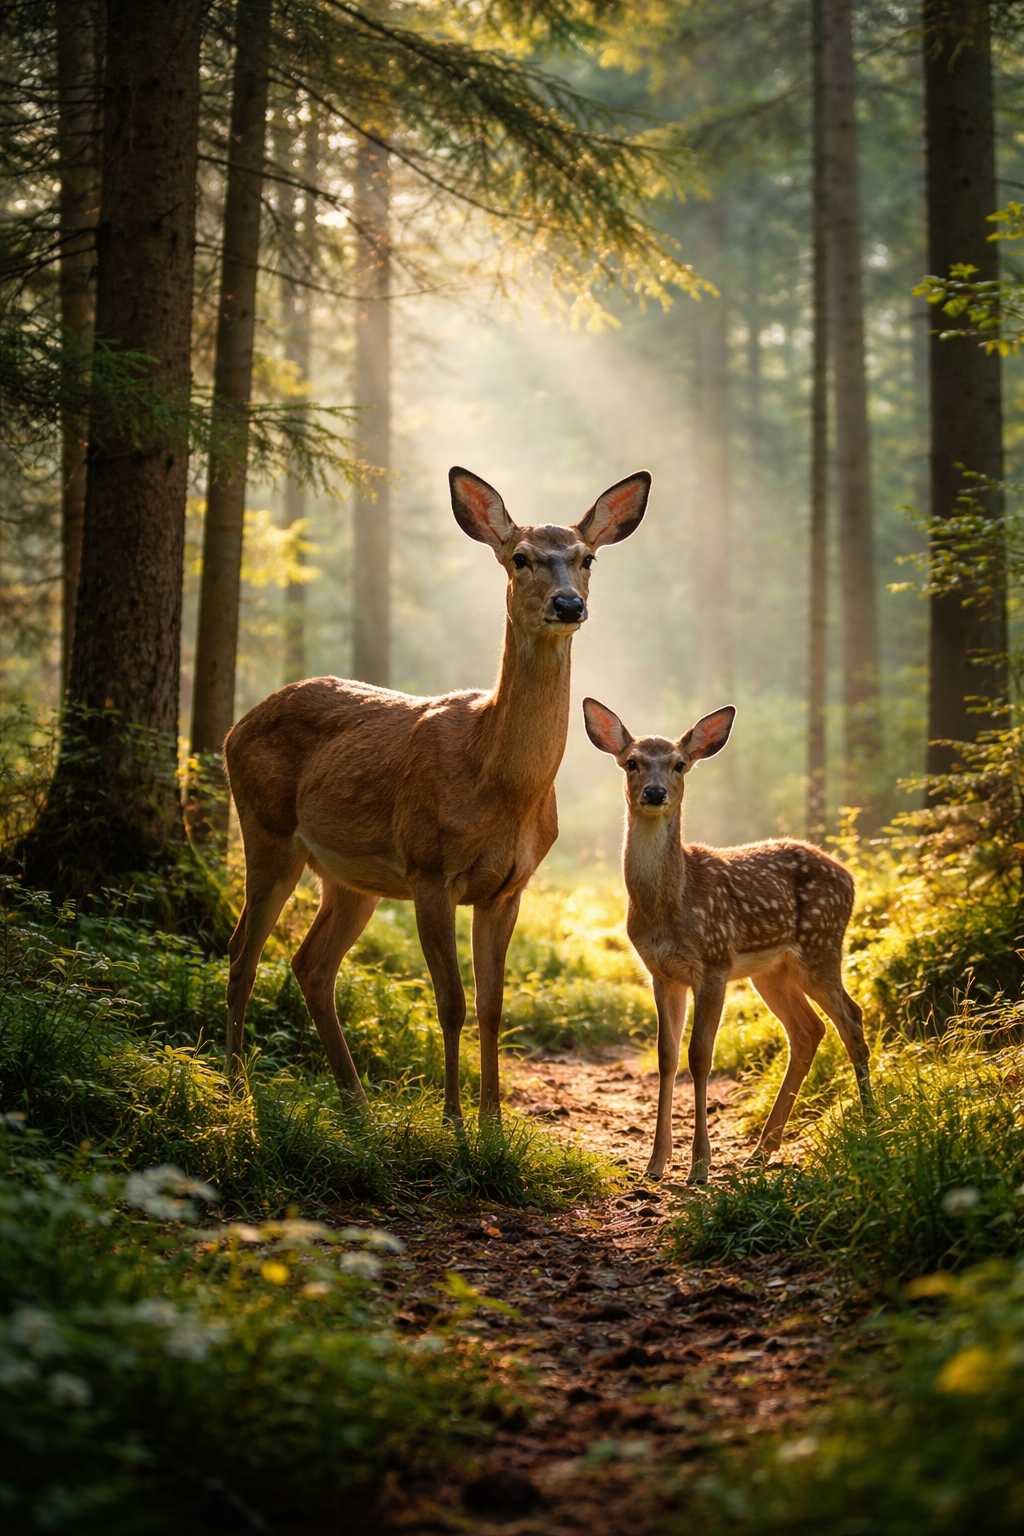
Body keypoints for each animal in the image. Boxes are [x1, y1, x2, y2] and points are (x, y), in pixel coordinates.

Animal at [222, 466, 651, 1125]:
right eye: (520, 557)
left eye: (587, 558)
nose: (568, 604)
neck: (501, 783)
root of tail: (235, 728)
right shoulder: (429, 867)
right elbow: (450, 1001)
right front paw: (452, 1118)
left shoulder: (509, 887)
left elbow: (494, 1005)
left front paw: (493, 1118)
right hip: (266, 830)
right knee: (242, 951)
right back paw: (234, 1085)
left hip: (350, 878)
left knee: (311, 963)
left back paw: (357, 1103)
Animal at [582, 697, 874, 1184]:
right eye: (632, 762)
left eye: (679, 764)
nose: (655, 793)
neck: (669, 906)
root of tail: (850, 877)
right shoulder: (662, 973)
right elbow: (666, 1056)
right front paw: (655, 1164)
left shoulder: (714, 963)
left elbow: (700, 1056)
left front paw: (699, 1165)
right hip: (773, 972)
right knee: (808, 1030)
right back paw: (761, 1151)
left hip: (821, 946)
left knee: (850, 1019)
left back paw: (873, 1127)